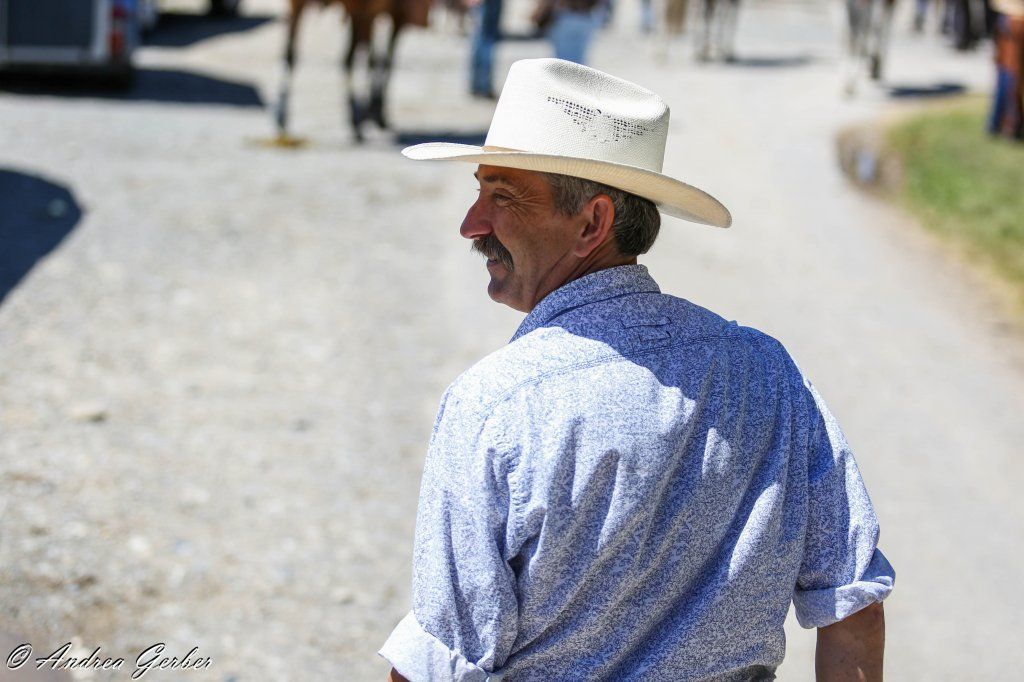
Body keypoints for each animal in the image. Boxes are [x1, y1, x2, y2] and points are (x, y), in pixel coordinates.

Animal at [274, 0, 431, 142]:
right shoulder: (390, 13)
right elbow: (383, 59)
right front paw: (372, 111)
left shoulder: (378, 13)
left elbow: (376, 58)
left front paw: (371, 110)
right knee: (350, 58)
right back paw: (356, 119)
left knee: (290, 54)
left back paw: (282, 116)